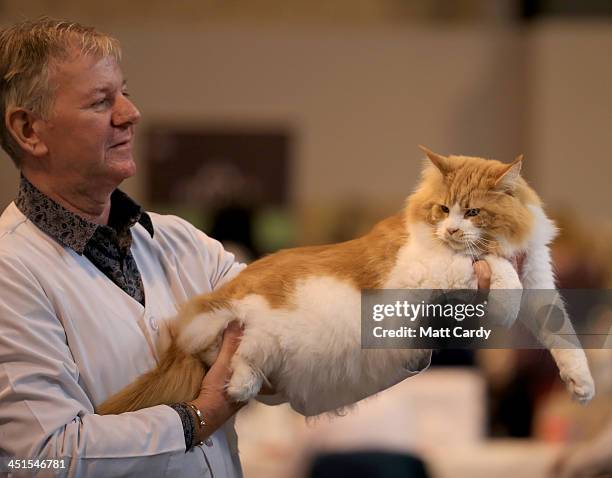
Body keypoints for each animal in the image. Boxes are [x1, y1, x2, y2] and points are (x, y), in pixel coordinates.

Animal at [98, 148, 596, 416]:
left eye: (473, 212)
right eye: (443, 210)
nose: (453, 230)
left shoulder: (541, 283)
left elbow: (563, 336)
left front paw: (581, 383)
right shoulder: (425, 269)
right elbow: (495, 272)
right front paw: (501, 298)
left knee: (244, 363)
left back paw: (241, 386)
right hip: (243, 324)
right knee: (236, 352)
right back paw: (237, 384)